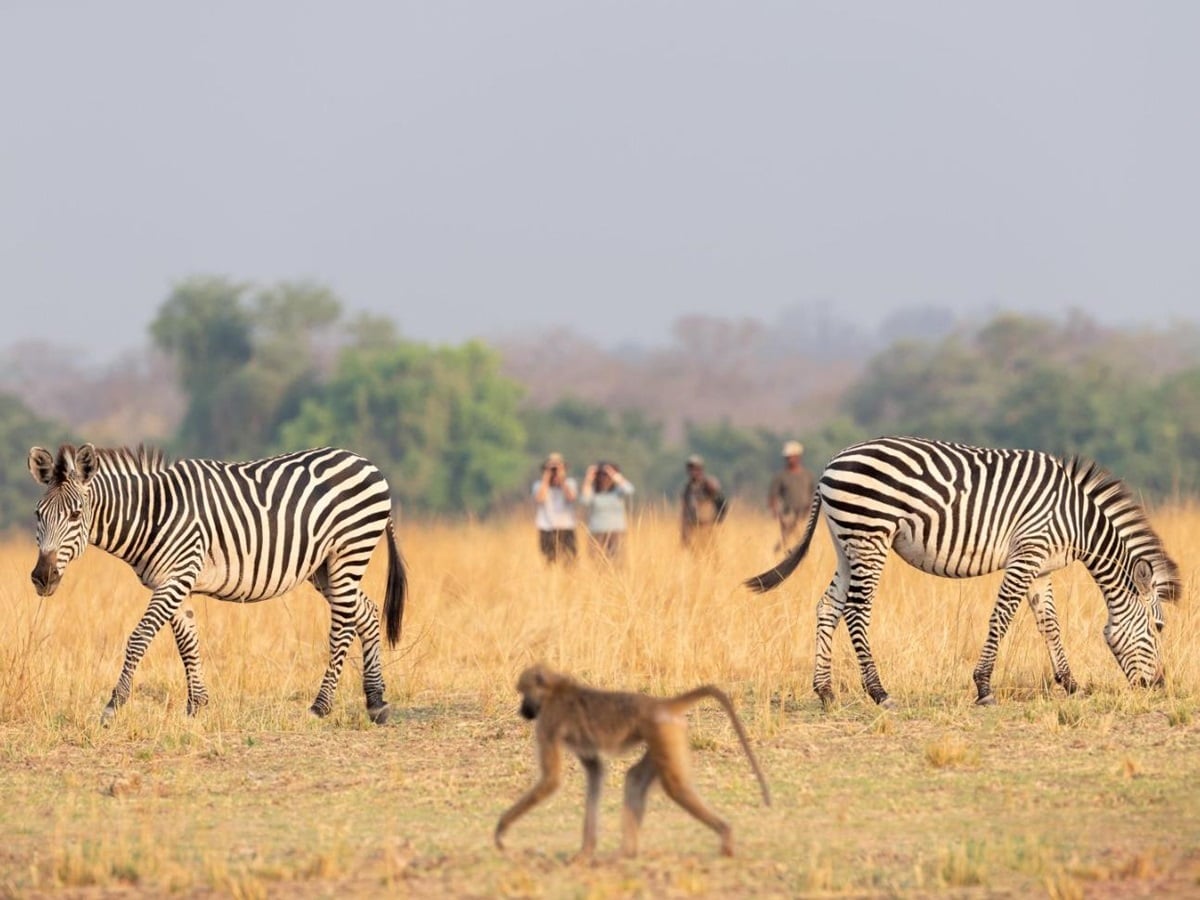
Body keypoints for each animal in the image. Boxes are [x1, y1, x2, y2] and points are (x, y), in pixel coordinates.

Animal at [27, 443, 407, 725]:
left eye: (76, 515)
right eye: (38, 515)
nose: (42, 577)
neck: (152, 514)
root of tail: (367, 463)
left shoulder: (177, 576)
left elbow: (139, 638)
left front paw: (113, 705)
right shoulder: (173, 581)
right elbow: (187, 643)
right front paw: (197, 705)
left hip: (348, 552)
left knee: (343, 626)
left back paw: (320, 706)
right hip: (325, 568)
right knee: (367, 613)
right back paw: (376, 702)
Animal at [494, 663, 771, 860]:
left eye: (523, 692)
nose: (523, 711)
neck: (556, 689)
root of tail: (660, 704)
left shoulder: (548, 722)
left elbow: (551, 781)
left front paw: (501, 830)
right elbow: (595, 771)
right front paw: (585, 853)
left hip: (661, 731)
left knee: (676, 787)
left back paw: (726, 836)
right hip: (665, 734)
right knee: (635, 778)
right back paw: (626, 853)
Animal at [744, 436, 1181, 708]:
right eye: (1159, 627)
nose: (1159, 686)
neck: (1077, 520)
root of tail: (830, 465)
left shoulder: (1040, 567)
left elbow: (1049, 625)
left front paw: (1071, 683)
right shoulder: (1027, 552)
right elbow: (1002, 617)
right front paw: (984, 686)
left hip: (846, 542)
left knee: (827, 606)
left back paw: (825, 691)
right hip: (870, 536)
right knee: (855, 610)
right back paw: (879, 692)